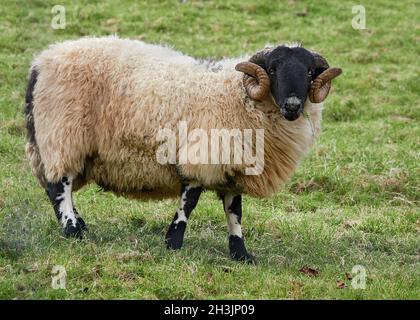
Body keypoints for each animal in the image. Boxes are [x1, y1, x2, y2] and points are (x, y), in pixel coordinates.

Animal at [24, 37, 342, 262]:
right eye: (273, 69)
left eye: (310, 72)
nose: (292, 105)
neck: (237, 96)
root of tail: (42, 61)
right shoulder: (202, 156)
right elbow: (189, 201)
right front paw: (173, 242)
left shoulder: (232, 167)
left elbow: (234, 212)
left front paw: (240, 253)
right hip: (63, 134)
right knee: (59, 186)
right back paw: (72, 231)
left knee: (54, 186)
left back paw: (80, 224)